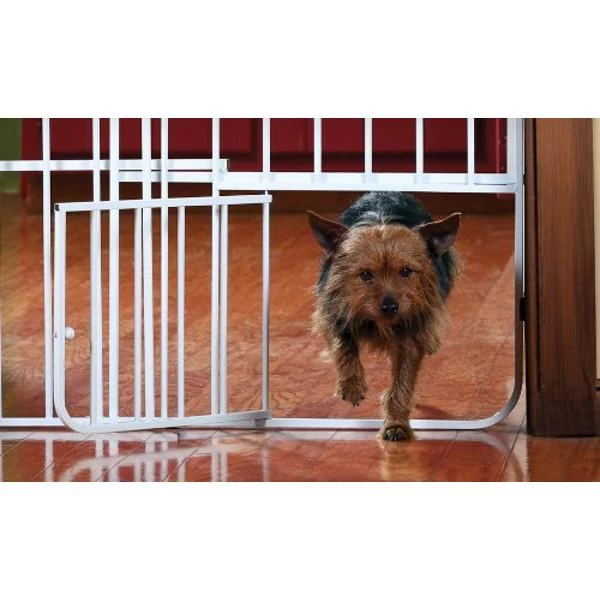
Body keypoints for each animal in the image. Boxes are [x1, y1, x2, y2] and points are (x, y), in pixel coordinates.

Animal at [308, 192, 461, 441]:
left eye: (406, 271)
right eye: (365, 275)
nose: (390, 307)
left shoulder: (411, 335)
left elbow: (402, 382)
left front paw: (395, 424)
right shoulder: (334, 311)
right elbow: (343, 345)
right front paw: (352, 385)